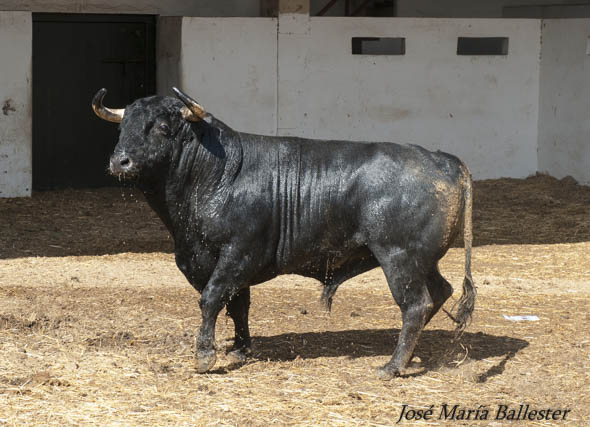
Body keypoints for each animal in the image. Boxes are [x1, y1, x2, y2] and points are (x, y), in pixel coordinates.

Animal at [95, 88, 478, 382]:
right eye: (123, 127)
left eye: (162, 126)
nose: (119, 162)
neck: (215, 175)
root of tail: (443, 160)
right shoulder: (224, 264)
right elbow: (238, 305)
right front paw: (240, 350)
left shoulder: (238, 254)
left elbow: (211, 299)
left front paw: (205, 356)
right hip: (423, 260)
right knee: (440, 292)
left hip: (399, 257)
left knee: (415, 305)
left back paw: (392, 365)